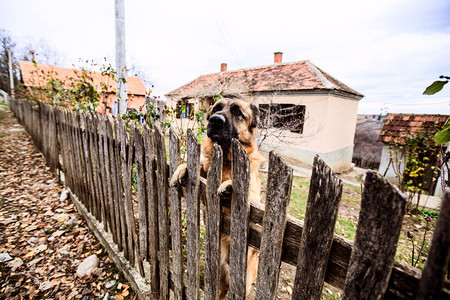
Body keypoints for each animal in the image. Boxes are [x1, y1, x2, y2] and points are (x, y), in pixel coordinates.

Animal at [171, 98, 264, 298]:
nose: (215, 120)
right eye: (216, 109)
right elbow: (198, 166)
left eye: (237, 111)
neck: (227, 160)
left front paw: (229, 184)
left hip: (244, 283)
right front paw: (181, 169)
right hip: (219, 277)